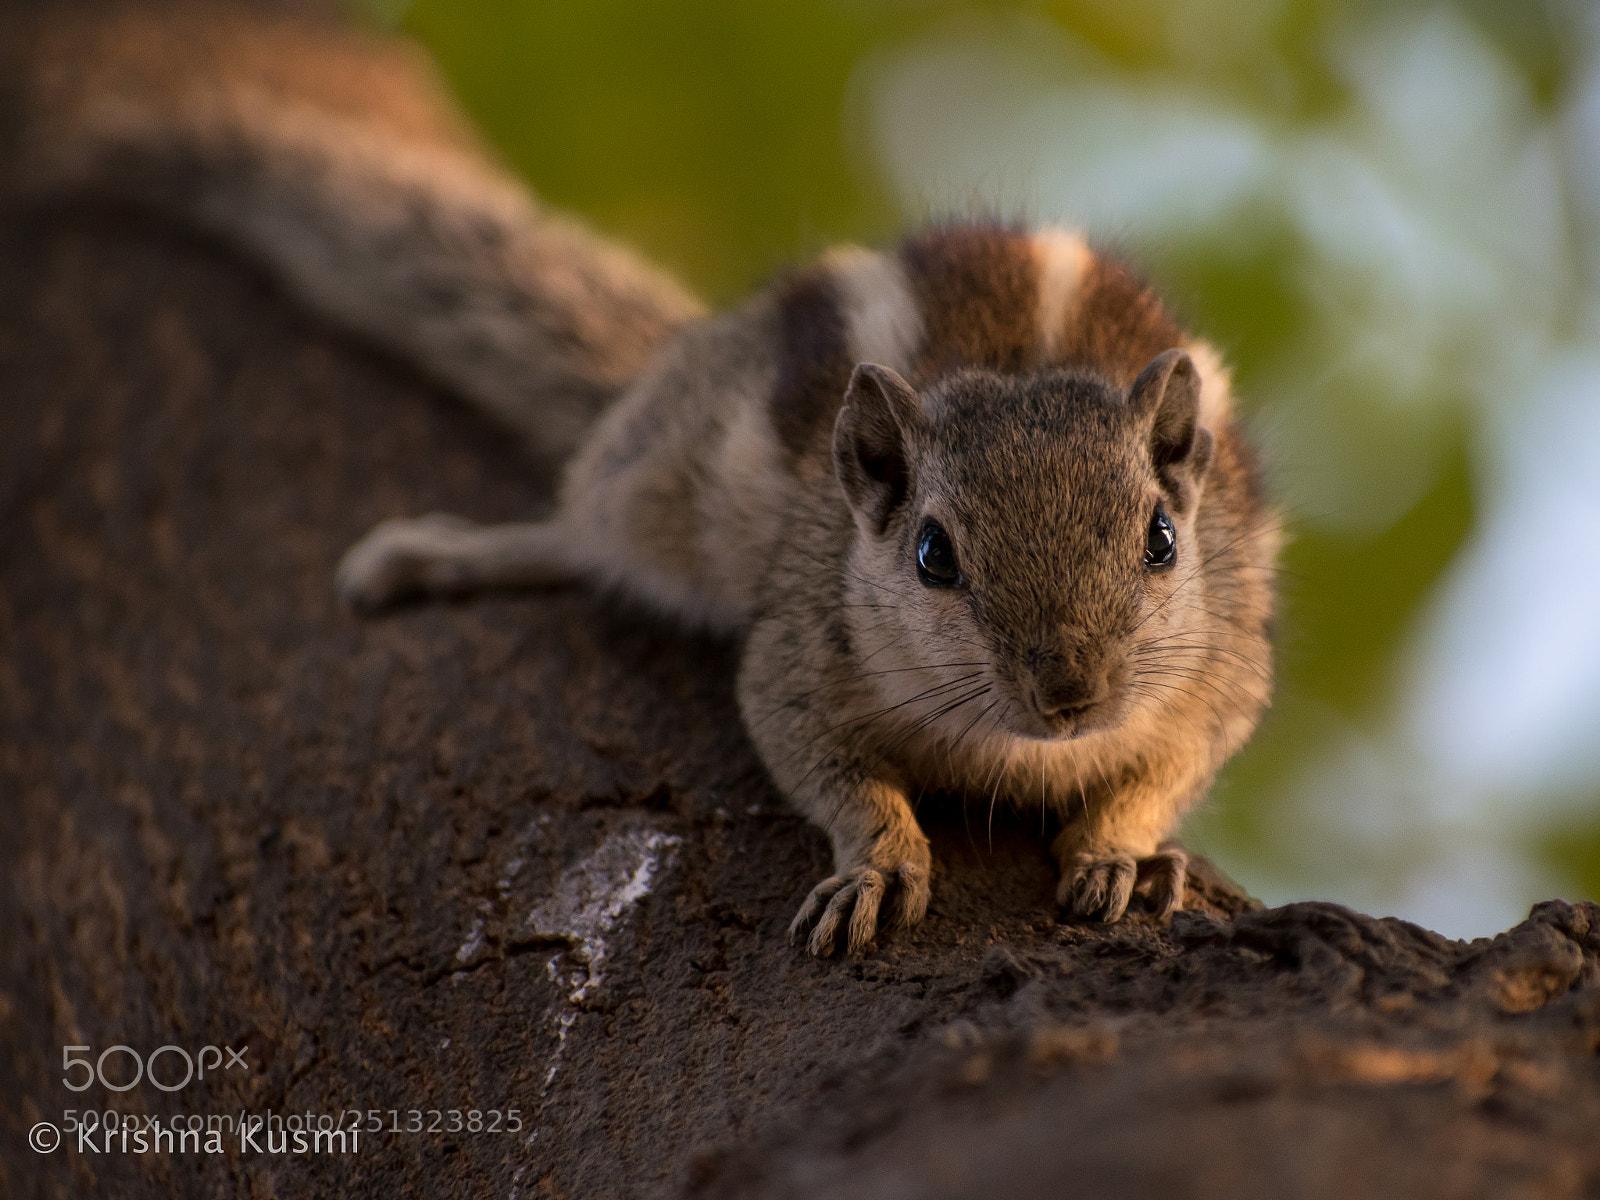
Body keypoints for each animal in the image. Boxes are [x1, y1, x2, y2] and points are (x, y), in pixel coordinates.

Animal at [15, 2, 1280, 956]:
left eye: (1162, 541)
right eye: (933, 554)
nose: (1071, 692)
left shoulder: (1221, 669)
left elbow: (1173, 763)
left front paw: (1121, 848)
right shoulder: (801, 651)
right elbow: (823, 766)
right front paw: (877, 860)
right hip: (659, 486)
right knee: (589, 525)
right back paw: (452, 552)